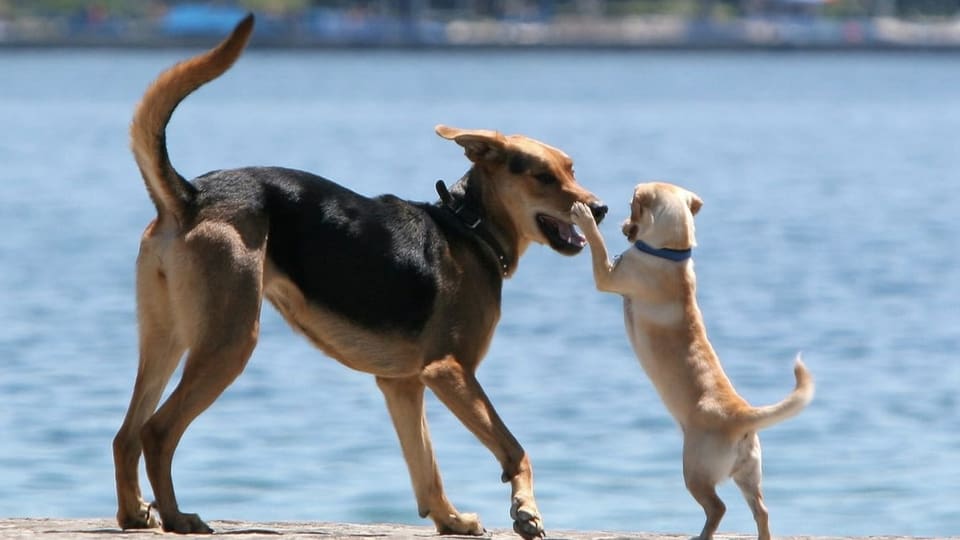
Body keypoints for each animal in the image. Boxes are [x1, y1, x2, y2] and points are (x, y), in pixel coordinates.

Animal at [112, 12, 604, 540]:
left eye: (572, 169)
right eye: (543, 178)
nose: (600, 208)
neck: (468, 225)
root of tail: (190, 195)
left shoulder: (402, 384)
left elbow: (426, 468)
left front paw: (451, 519)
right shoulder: (450, 370)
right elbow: (514, 448)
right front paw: (526, 510)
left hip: (166, 337)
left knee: (126, 435)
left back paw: (135, 513)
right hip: (230, 340)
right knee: (157, 431)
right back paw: (177, 517)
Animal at [572, 184, 812, 536]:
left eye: (632, 208)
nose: (621, 225)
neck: (670, 252)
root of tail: (741, 415)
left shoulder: (607, 275)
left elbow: (598, 249)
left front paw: (586, 219)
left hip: (695, 471)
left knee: (717, 507)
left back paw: (703, 534)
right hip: (748, 474)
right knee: (762, 511)